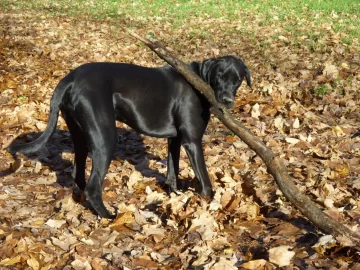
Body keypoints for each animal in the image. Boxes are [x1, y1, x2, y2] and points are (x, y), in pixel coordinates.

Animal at [7, 56, 250, 218]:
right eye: (220, 76)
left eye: (238, 79)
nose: (227, 101)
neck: (199, 79)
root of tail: (70, 79)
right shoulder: (192, 141)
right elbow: (205, 181)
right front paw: (208, 202)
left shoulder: (175, 140)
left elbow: (172, 170)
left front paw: (175, 195)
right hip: (105, 138)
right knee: (93, 186)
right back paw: (108, 215)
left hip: (81, 135)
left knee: (79, 173)